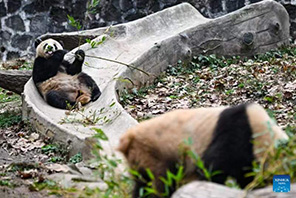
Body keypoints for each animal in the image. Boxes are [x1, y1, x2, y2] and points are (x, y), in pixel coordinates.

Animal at [118, 103, 290, 198]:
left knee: (142, 186)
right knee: (161, 185)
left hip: (141, 159)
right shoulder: (236, 136)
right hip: (156, 153)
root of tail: (127, 140)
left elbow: (246, 176)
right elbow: (212, 170)